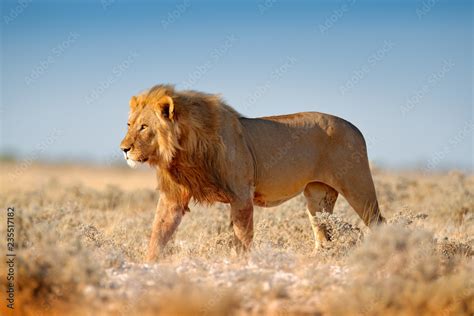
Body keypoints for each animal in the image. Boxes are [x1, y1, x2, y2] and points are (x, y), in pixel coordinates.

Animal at [119, 84, 386, 262]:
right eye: (129, 125)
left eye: (144, 127)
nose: (124, 149)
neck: (182, 151)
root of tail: (356, 128)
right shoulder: (173, 197)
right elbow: (158, 232)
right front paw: (148, 266)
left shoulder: (241, 195)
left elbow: (241, 236)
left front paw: (241, 263)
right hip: (318, 196)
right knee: (323, 232)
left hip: (358, 185)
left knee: (378, 221)